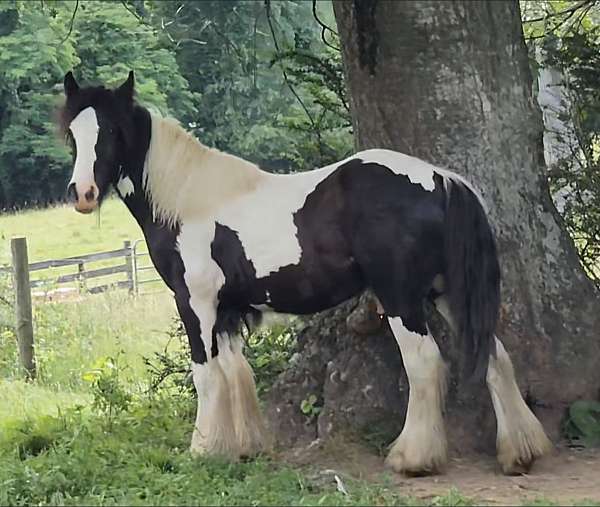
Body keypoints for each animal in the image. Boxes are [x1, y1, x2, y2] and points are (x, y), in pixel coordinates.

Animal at [58, 73, 552, 478]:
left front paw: (203, 452)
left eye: (112, 131)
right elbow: (236, 372)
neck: (189, 203)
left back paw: (413, 458)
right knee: (494, 355)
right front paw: (246, 448)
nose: (82, 194)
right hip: (448, 293)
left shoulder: (195, 303)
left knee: (426, 363)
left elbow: (207, 375)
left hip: (401, 297)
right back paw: (519, 452)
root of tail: (440, 179)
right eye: (72, 134)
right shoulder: (229, 309)